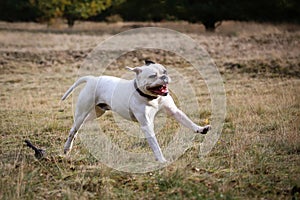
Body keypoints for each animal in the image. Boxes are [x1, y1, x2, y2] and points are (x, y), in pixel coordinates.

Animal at [61, 61, 211, 162]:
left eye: (165, 71)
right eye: (152, 76)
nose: (164, 77)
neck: (151, 98)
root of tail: (92, 79)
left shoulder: (174, 111)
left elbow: (188, 121)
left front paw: (201, 129)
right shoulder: (146, 125)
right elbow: (155, 144)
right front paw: (161, 160)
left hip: (96, 113)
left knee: (77, 127)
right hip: (82, 112)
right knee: (74, 128)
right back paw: (67, 148)